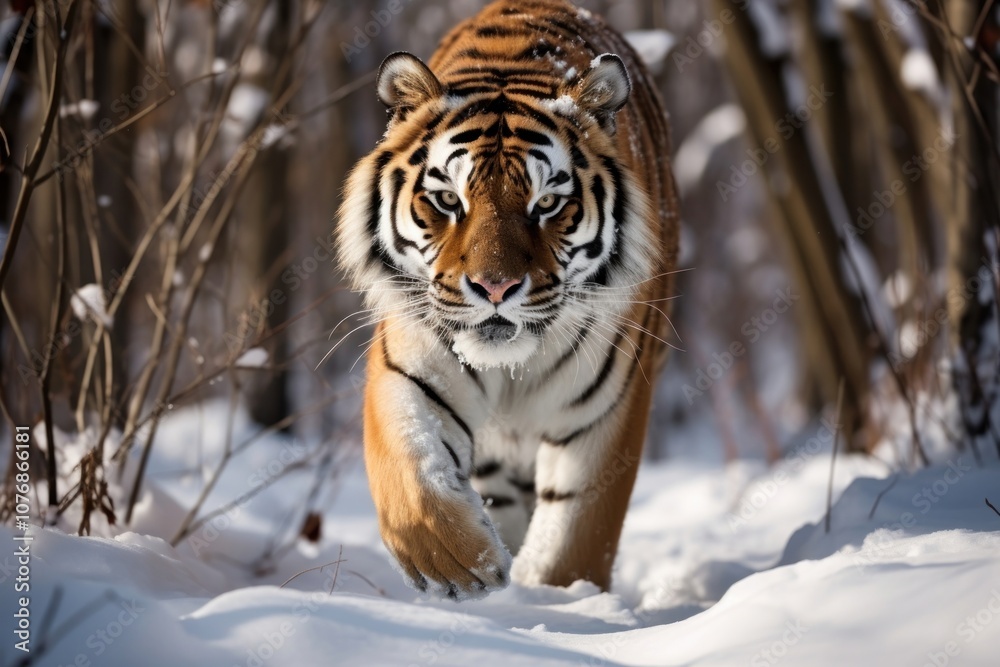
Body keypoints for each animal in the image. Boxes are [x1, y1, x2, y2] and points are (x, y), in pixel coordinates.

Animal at [336, 0, 679, 599]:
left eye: (547, 204)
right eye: (448, 199)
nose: (495, 288)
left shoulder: (607, 411)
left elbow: (576, 537)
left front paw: (563, 600)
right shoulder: (409, 366)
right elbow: (410, 474)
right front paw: (461, 565)